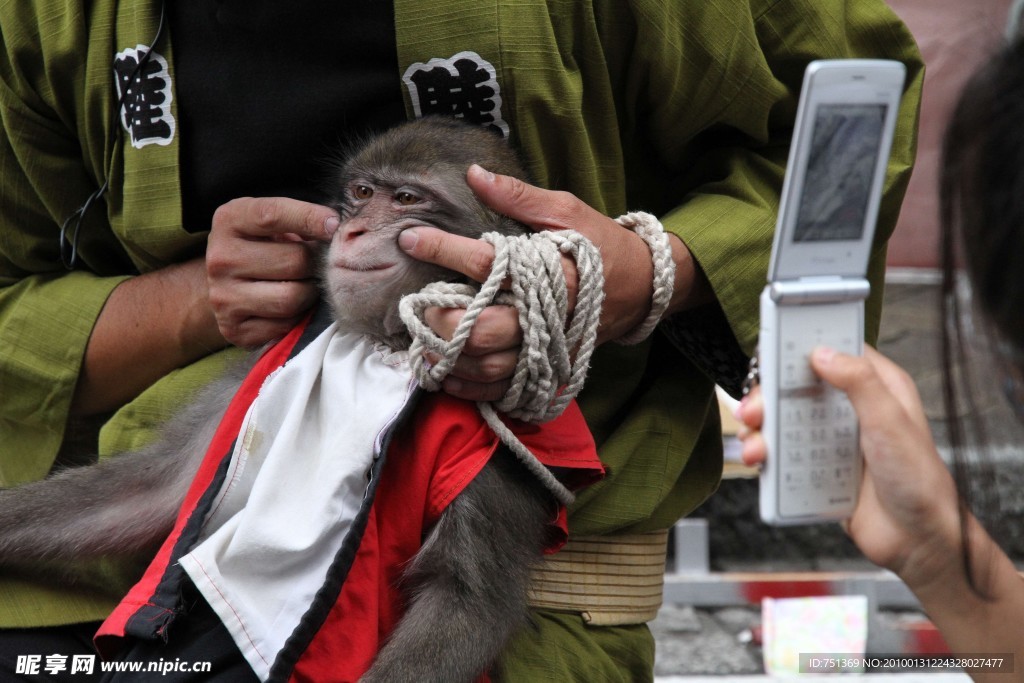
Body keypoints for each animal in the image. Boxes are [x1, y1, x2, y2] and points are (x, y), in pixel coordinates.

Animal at [0, 116, 593, 679]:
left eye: (406, 200)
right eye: (361, 192)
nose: (353, 230)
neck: (382, 345)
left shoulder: (495, 453)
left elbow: (464, 601)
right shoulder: (246, 382)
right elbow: (151, 491)